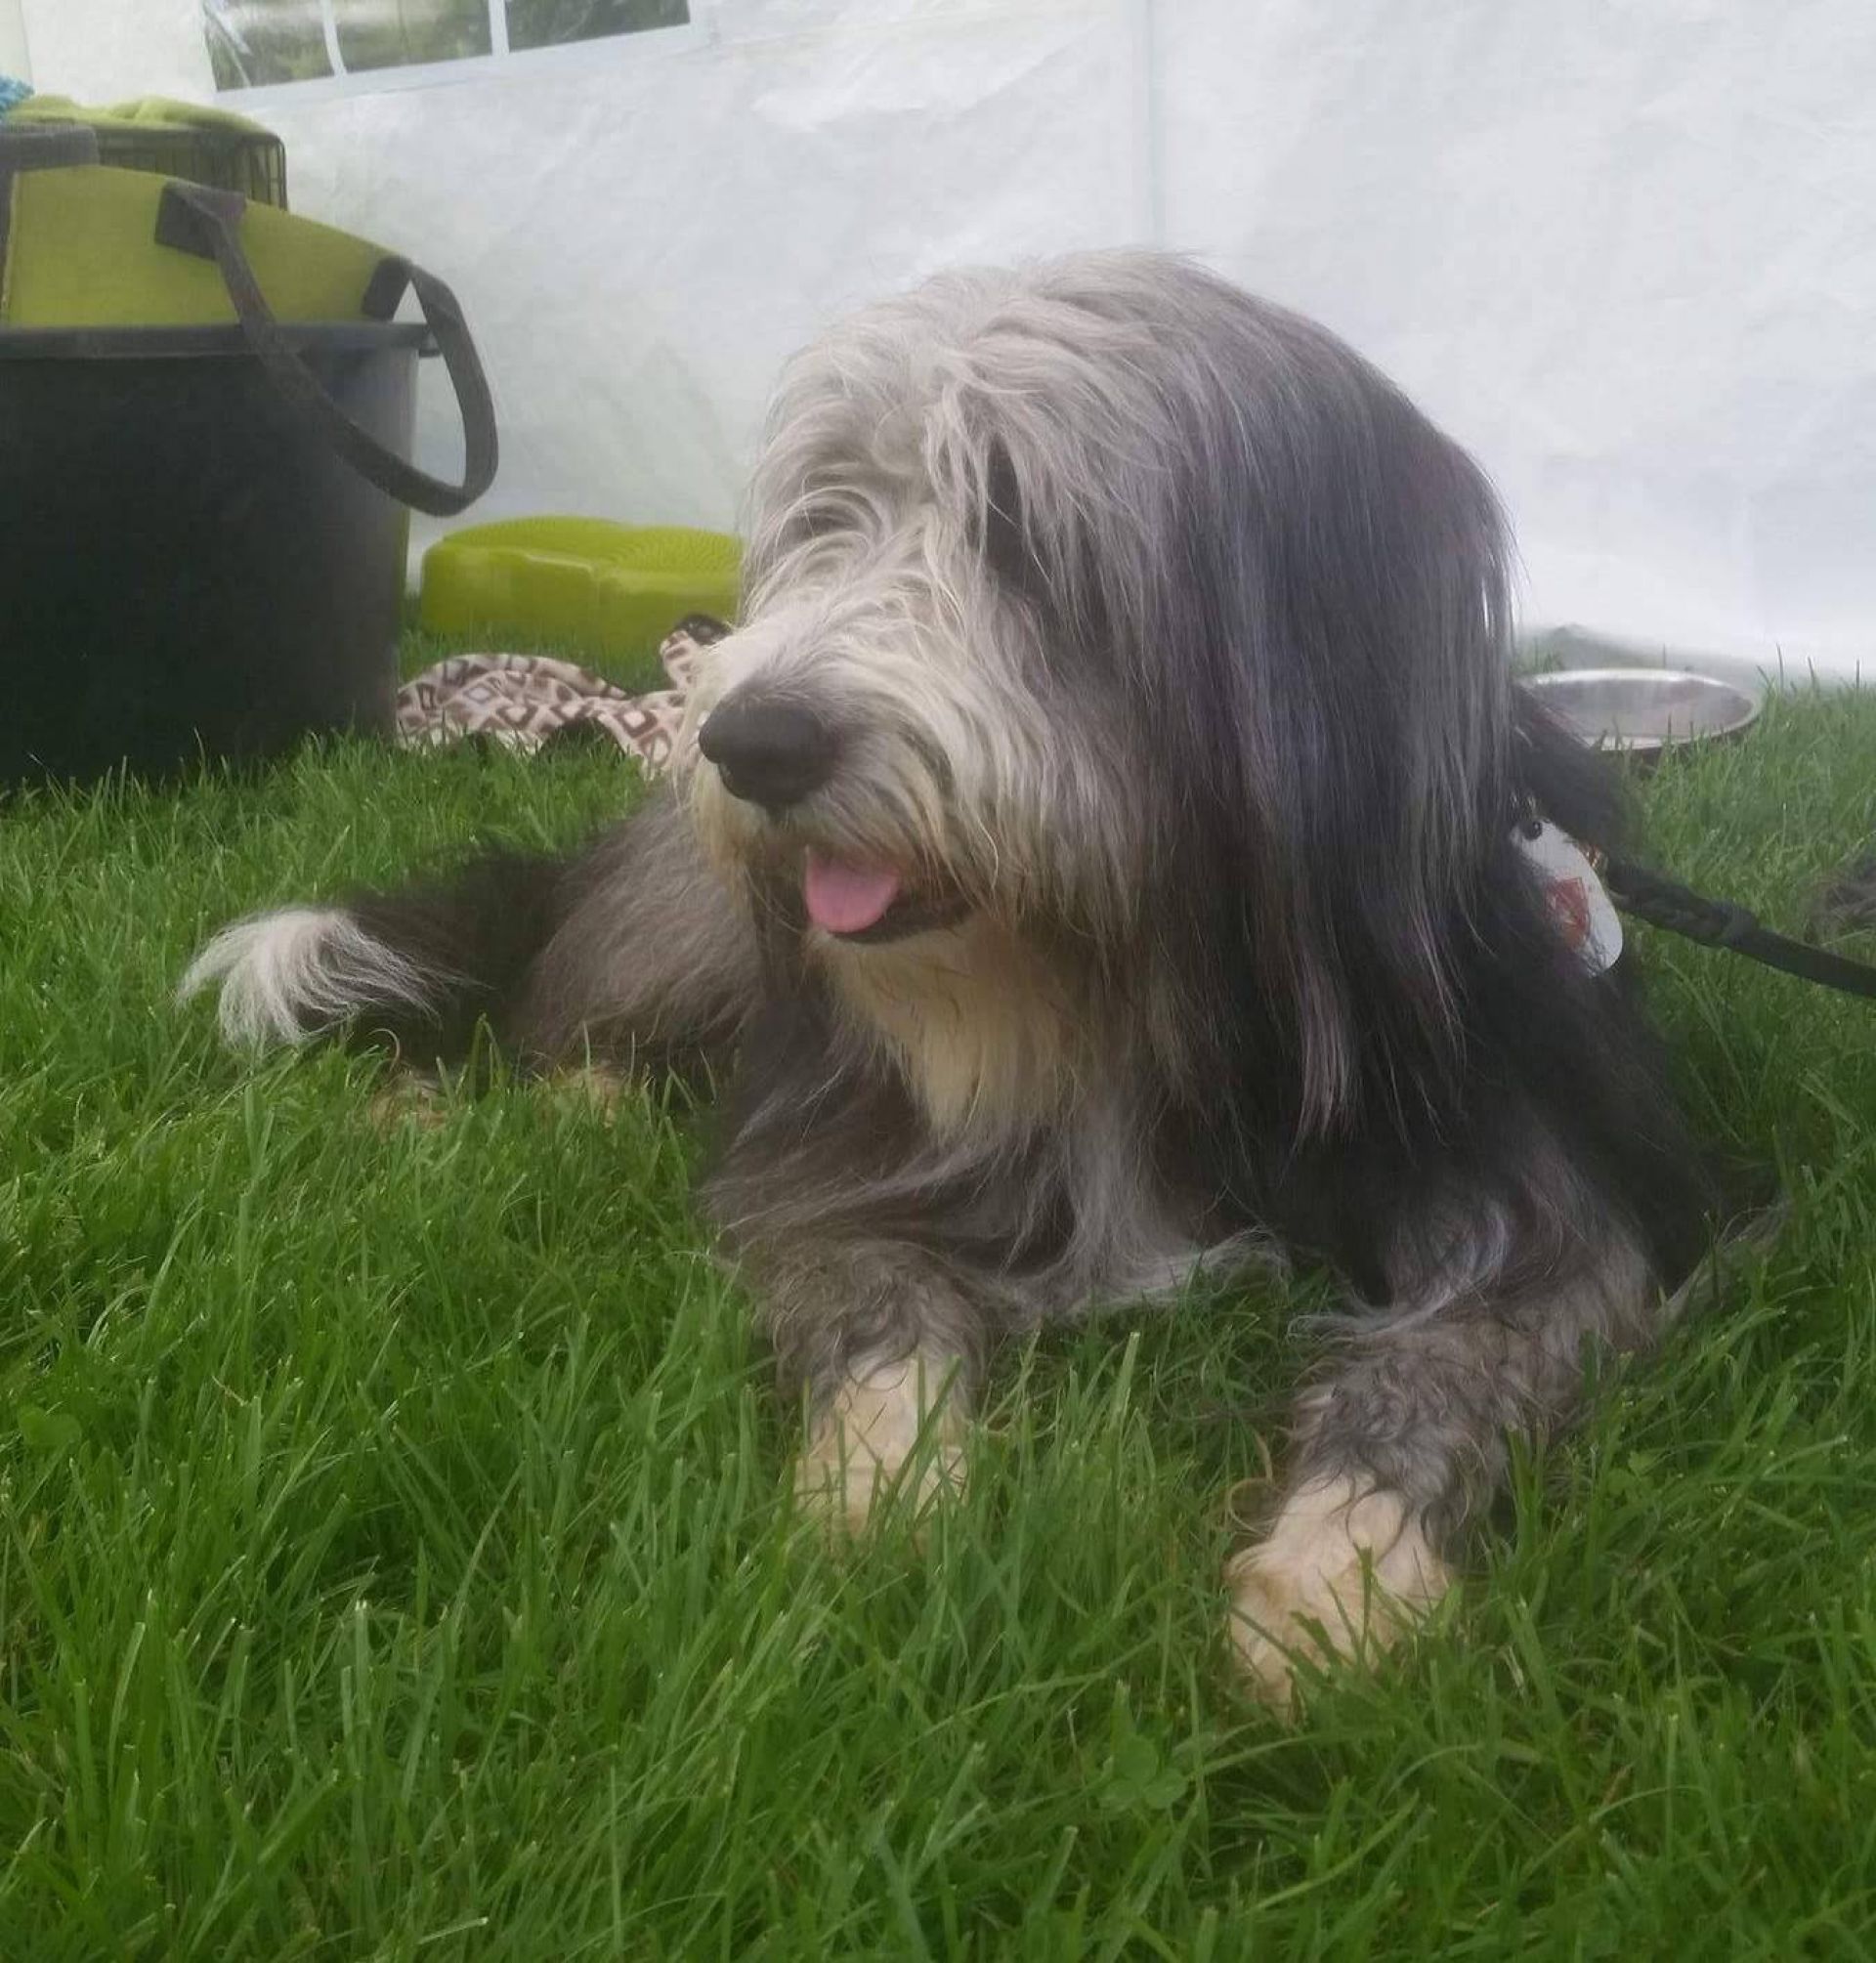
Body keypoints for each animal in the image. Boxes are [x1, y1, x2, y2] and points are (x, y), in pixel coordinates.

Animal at [183, 252, 1713, 1708]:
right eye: (827, 517)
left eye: (1024, 532)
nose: (749, 741)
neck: (1124, 975)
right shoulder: (834, 1160)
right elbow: (876, 1306)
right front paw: (883, 1496)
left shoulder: (1540, 1185)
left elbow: (1457, 1351)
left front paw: (1341, 1572)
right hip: (696, 924)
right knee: (563, 1034)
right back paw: (455, 1115)